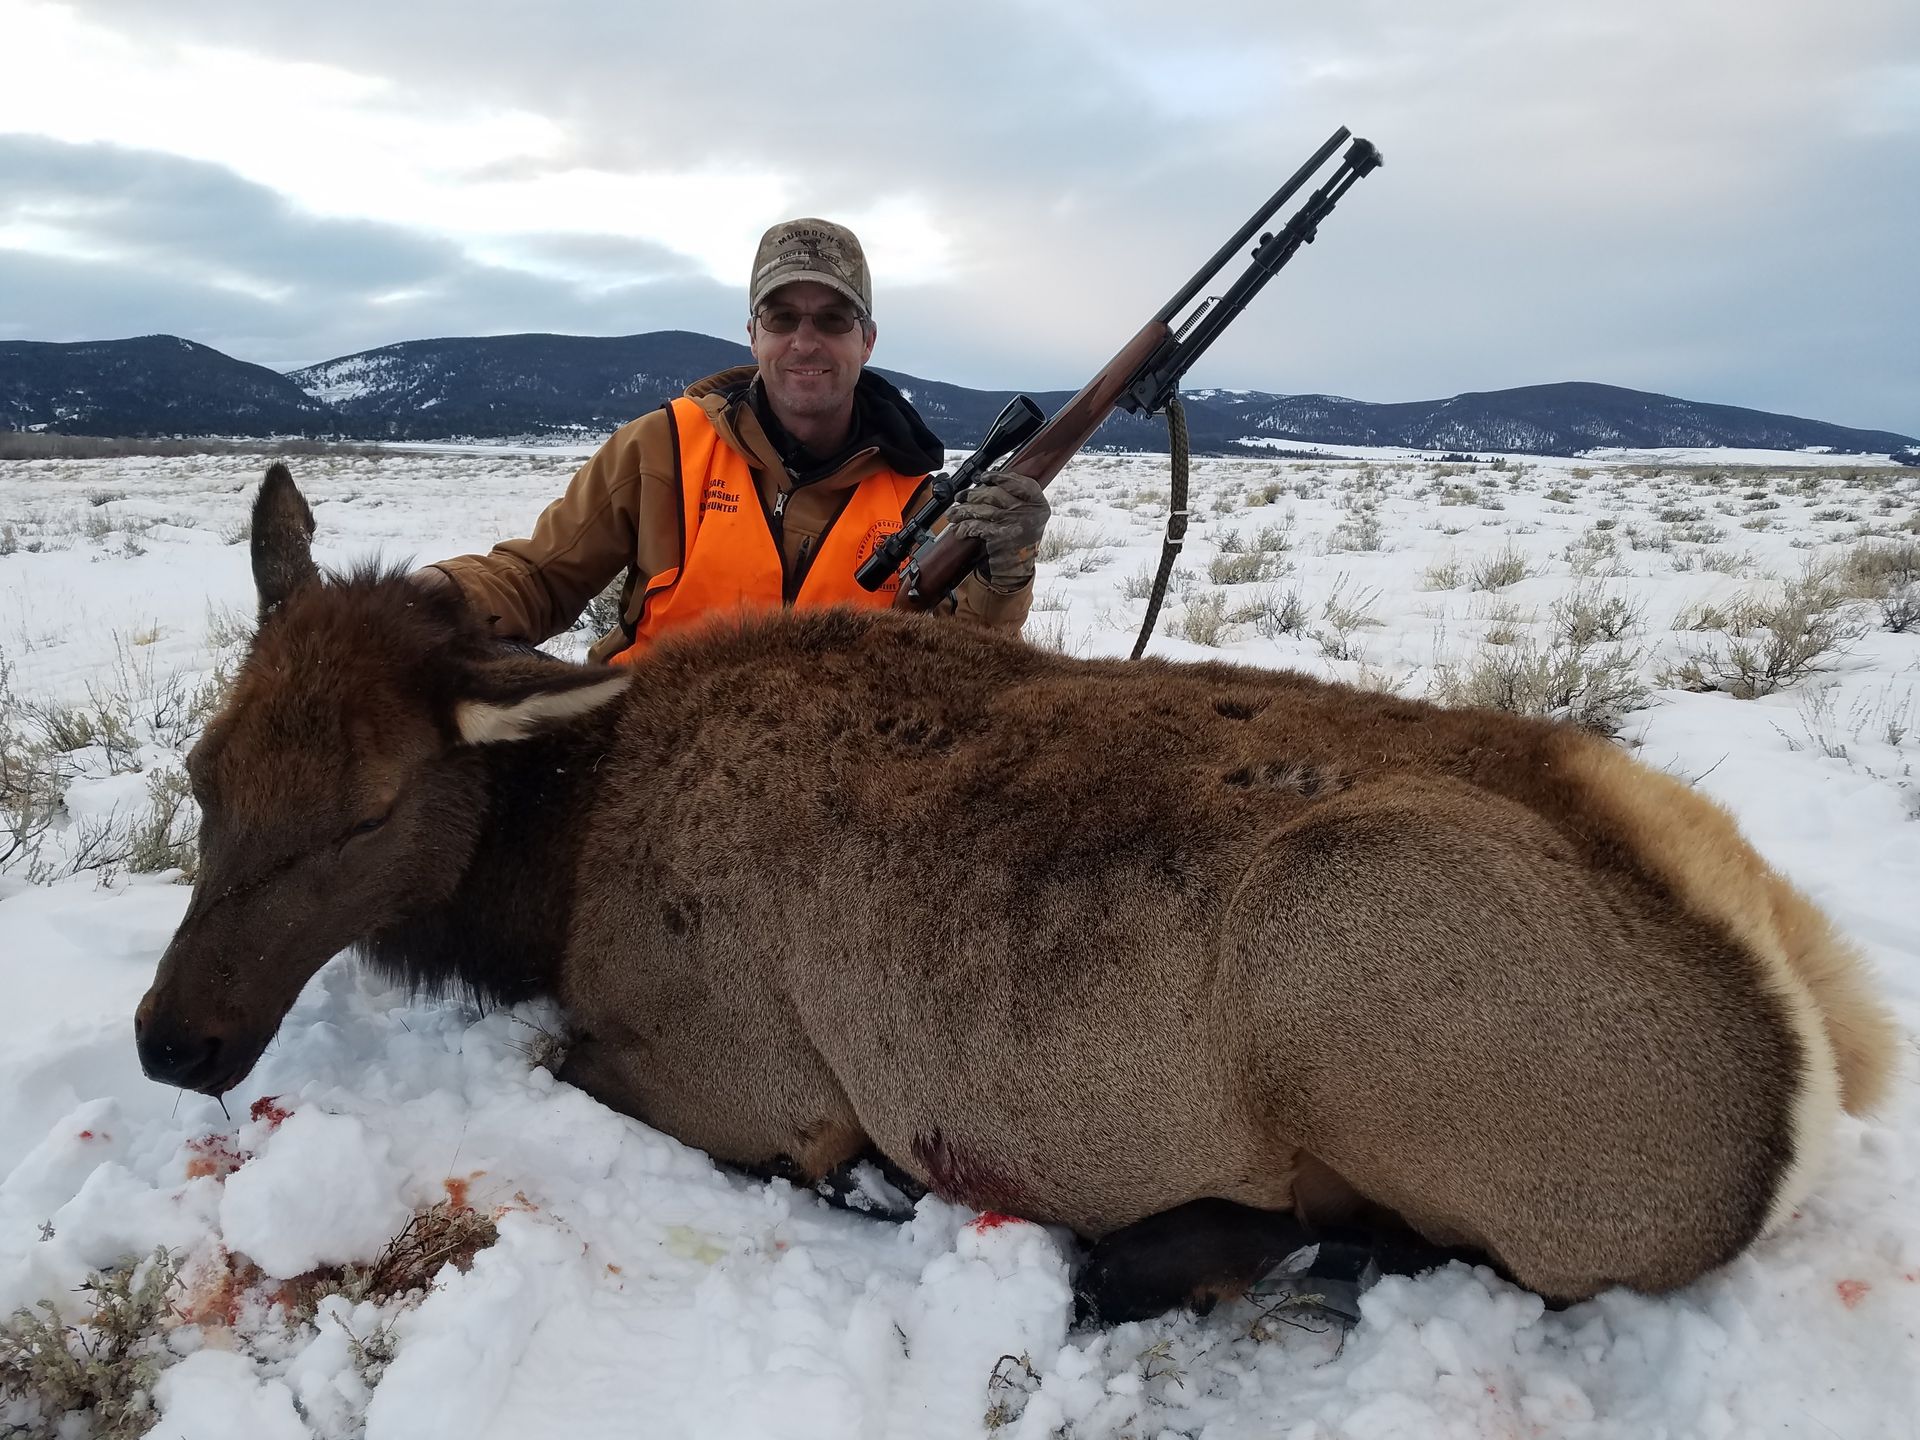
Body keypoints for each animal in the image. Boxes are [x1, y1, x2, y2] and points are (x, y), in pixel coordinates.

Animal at [137, 465, 1898, 1323]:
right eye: (203, 768)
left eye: (367, 810)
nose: (175, 1039)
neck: (553, 870)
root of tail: (1816, 1057)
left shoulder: (744, 1073)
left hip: (1350, 942)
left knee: (1431, 1252)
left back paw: (1126, 1259)